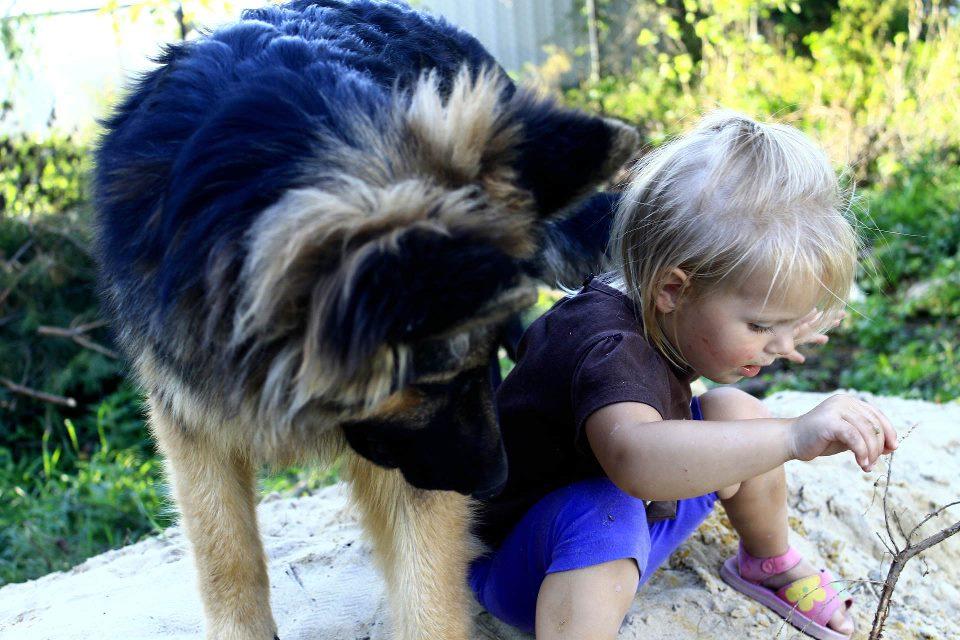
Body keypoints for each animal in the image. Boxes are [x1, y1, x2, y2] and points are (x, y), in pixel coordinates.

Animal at [93, 2, 637, 638]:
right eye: (433, 380)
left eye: (490, 355)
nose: (495, 483)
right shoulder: (192, 415)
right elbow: (224, 553)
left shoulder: (417, 464)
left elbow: (426, 591)